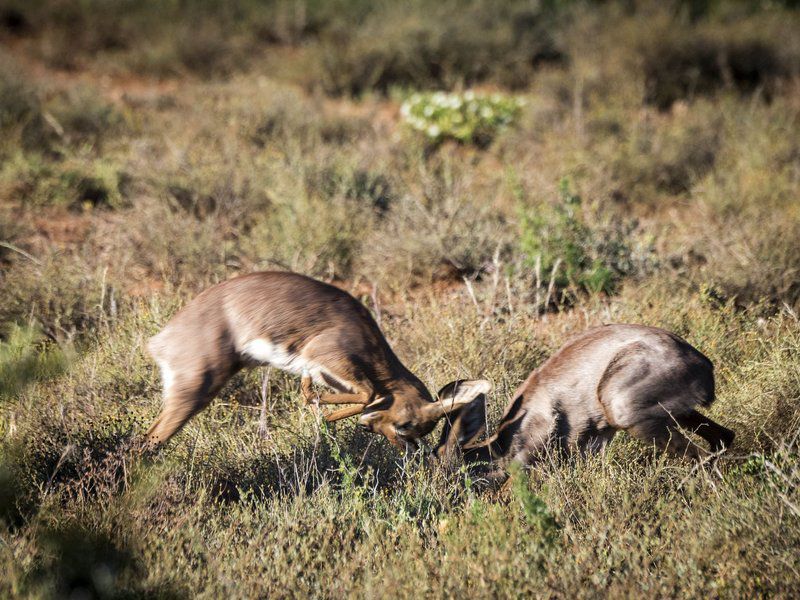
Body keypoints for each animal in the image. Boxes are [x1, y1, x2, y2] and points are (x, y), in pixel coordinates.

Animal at [146, 272, 490, 450]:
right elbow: (366, 394)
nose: (404, 448)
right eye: (406, 425)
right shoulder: (325, 358)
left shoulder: (328, 373)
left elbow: (355, 394)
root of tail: (162, 339)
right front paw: (322, 412)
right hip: (194, 391)